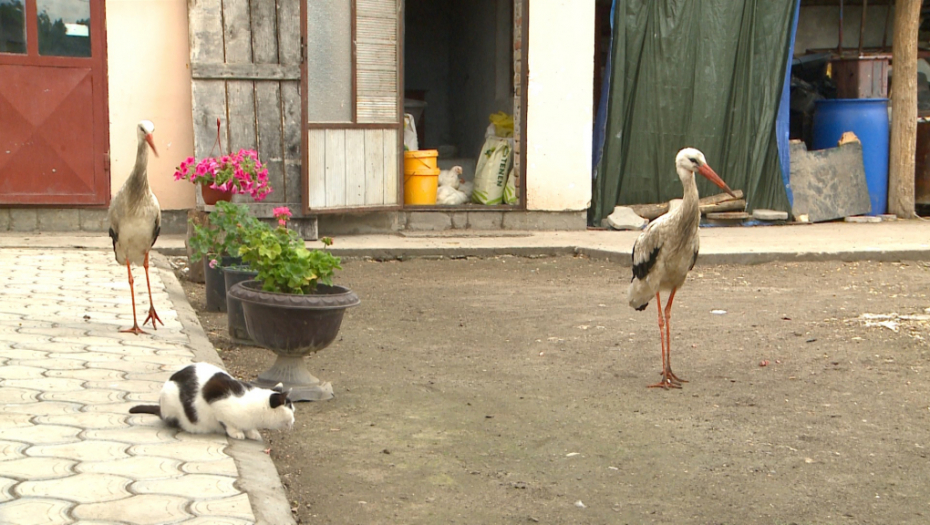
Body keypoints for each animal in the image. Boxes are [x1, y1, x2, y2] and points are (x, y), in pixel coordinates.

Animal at [128, 360, 294, 438]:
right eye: (291, 409)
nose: (294, 420)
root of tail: (160, 408)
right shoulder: (217, 403)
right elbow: (226, 422)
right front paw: (236, 432)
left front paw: (252, 432)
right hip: (170, 398)